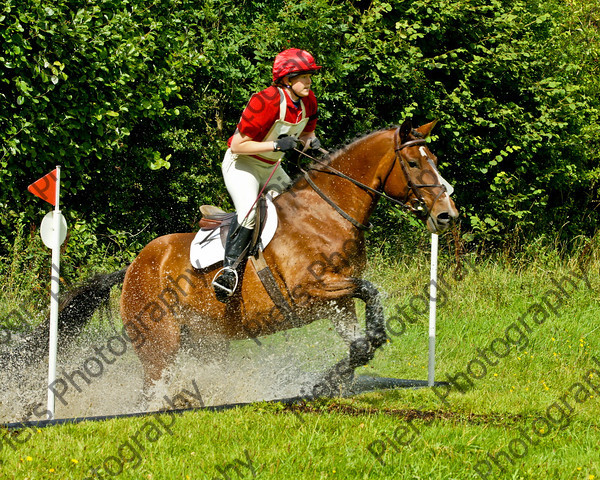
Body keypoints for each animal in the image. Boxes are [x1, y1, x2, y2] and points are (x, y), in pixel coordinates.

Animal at [51, 119, 458, 402]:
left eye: (436, 160)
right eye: (413, 163)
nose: (447, 215)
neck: (326, 214)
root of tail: (133, 266)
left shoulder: (337, 302)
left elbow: (361, 341)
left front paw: (329, 382)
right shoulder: (308, 292)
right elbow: (370, 292)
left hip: (207, 341)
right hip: (159, 343)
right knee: (150, 388)